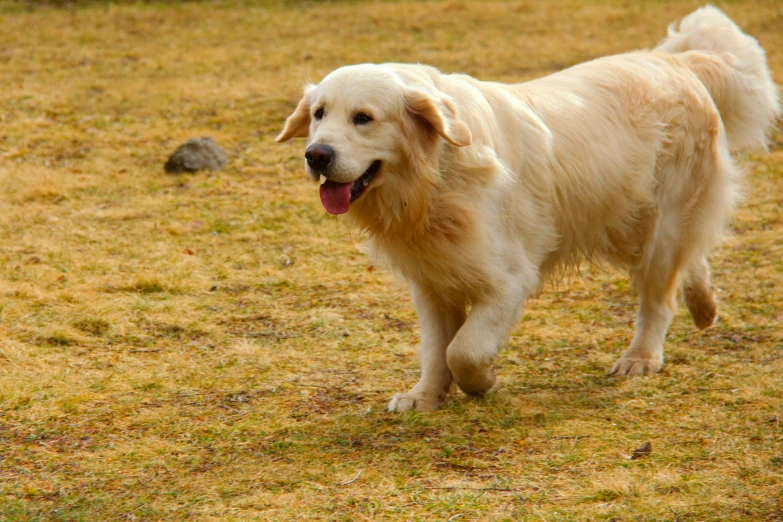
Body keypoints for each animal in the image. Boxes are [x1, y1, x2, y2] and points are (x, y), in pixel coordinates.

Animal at [276, 6, 776, 408]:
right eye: (319, 113)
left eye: (363, 118)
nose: (316, 155)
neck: (435, 179)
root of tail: (677, 61)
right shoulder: (432, 280)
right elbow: (436, 348)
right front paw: (425, 395)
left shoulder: (509, 279)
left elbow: (464, 349)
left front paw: (480, 382)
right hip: (627, 220)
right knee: (690, 261)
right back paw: (705, 306)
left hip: (662, 221)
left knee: (658, 295)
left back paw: (641, 356)